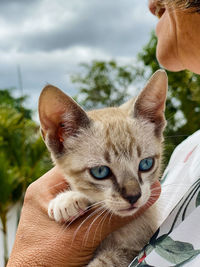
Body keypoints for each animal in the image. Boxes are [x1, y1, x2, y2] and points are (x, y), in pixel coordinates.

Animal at [38, 70, 167, 266]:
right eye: (100, 172)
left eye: (146, 164)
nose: (133, 196)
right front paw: (67, 200)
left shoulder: (134, 248)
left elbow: (105, 261)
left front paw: (68, 199)